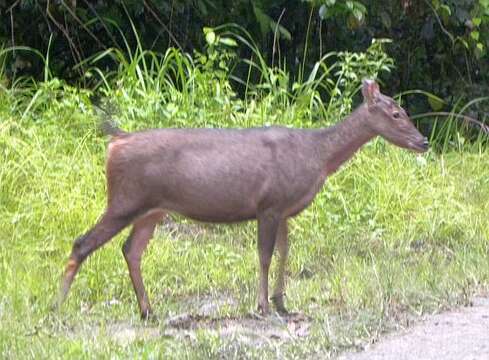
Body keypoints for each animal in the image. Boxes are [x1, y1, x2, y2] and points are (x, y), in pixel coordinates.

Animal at [56, 79, 428, 318]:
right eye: (396, 114)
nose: (423, 141)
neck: (318, 156)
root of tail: (116, 141)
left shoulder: (284, 208)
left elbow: (284, 252)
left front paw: (282, 303)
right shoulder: (269, 204)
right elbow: (264, 255)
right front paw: (262, 306)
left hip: (152, 209)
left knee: (130, 250)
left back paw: (148, 311)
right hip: (125, 199)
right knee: (81, 242)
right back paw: (58, 306)